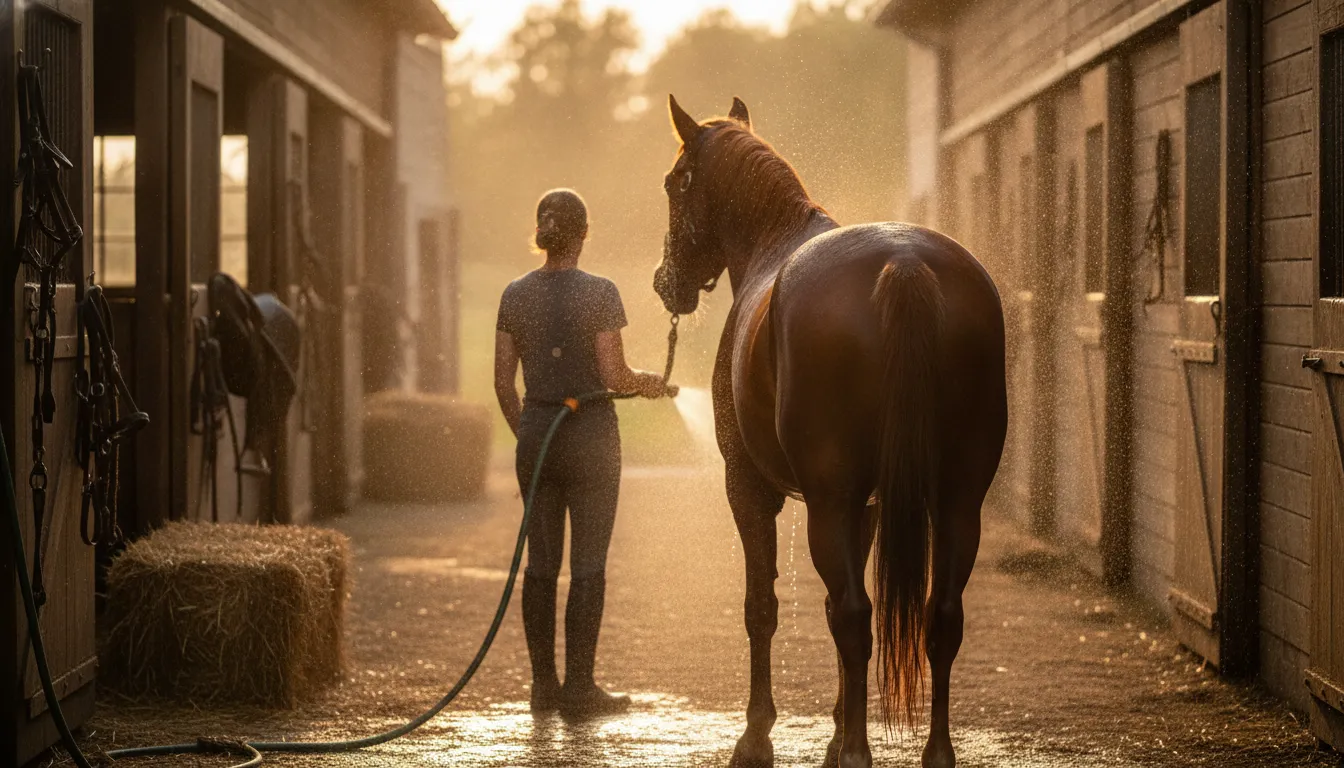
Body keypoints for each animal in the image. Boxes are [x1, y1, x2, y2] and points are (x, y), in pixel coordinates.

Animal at [653, 96, 1006, 768]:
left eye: (673, 181)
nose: (665, 282)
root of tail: (904, 265)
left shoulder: (753, 490)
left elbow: (762, 608)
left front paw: (757, 734)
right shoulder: (865, 506)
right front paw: (839, 726)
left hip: (830, 501)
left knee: (852, 615)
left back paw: (857, 753)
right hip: (957, 501)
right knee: (940, 617)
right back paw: (930, 752)